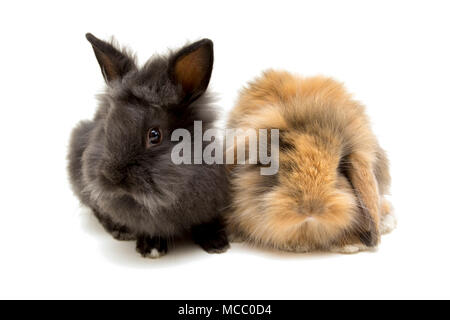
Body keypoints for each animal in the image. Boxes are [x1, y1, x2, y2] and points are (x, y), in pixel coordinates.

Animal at [68, 33, 230, 258]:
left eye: (155, 135)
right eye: (107, 126)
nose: (113, 177)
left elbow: (207, 222)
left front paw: (217, 243)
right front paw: (151, 248)